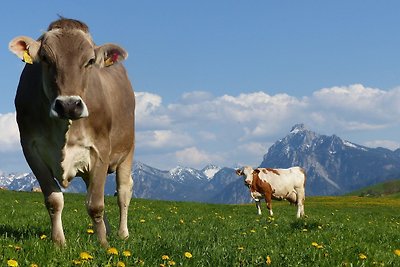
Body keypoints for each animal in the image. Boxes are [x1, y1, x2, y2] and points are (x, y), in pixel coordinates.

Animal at [7, 18, 135, 249]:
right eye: (45, 59)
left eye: (90, 61)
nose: (68, 105)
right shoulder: (31, 149)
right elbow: (54, 200)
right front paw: (59, 242)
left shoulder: (100, 149)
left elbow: (96, 205)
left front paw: (104, 244)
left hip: (128, 149)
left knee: (123, 191)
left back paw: (122, 234)